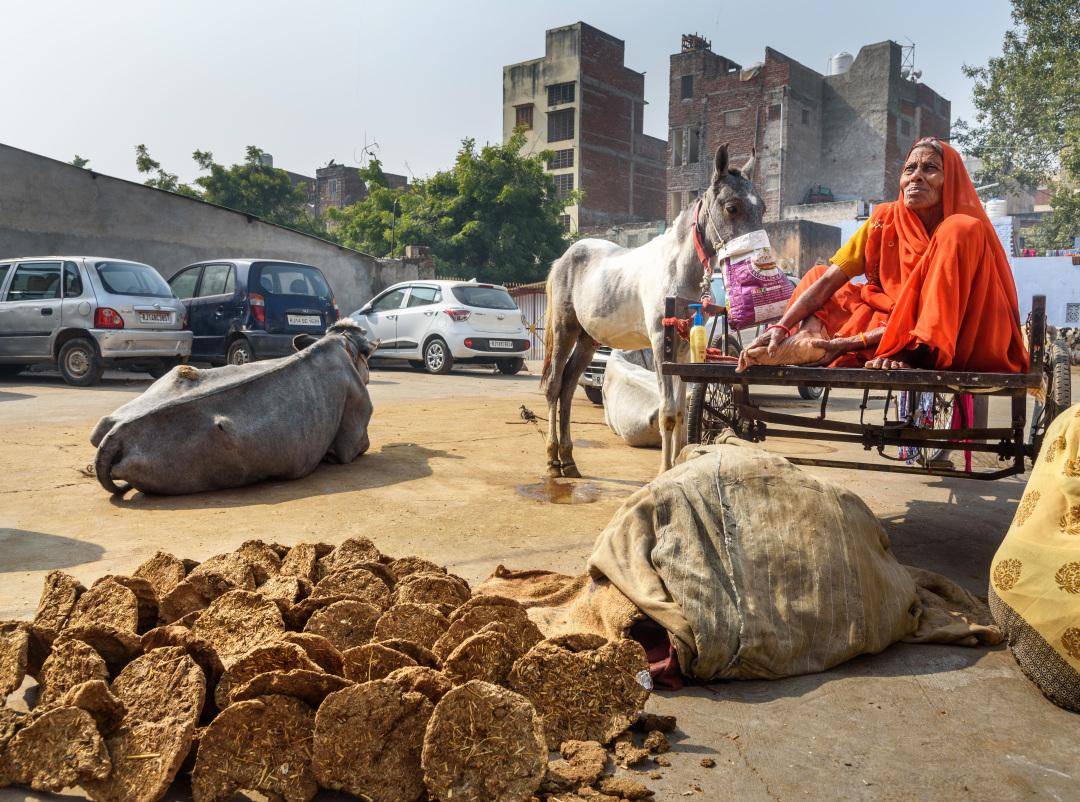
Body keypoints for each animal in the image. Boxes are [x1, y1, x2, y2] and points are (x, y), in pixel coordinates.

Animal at [537, 145, 760, 477]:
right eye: (732, 207)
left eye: (763, 208)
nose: (759, 259)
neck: (678, 270)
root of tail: (563, 260)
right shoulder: (659, 342)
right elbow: (667, 410)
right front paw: (664, 470)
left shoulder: (683, 348)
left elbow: (680, 410)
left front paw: (677, 465)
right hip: (565, 330)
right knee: (553, 387)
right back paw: (552, 461)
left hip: (589, 339)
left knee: (567, 387)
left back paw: (569, 461)